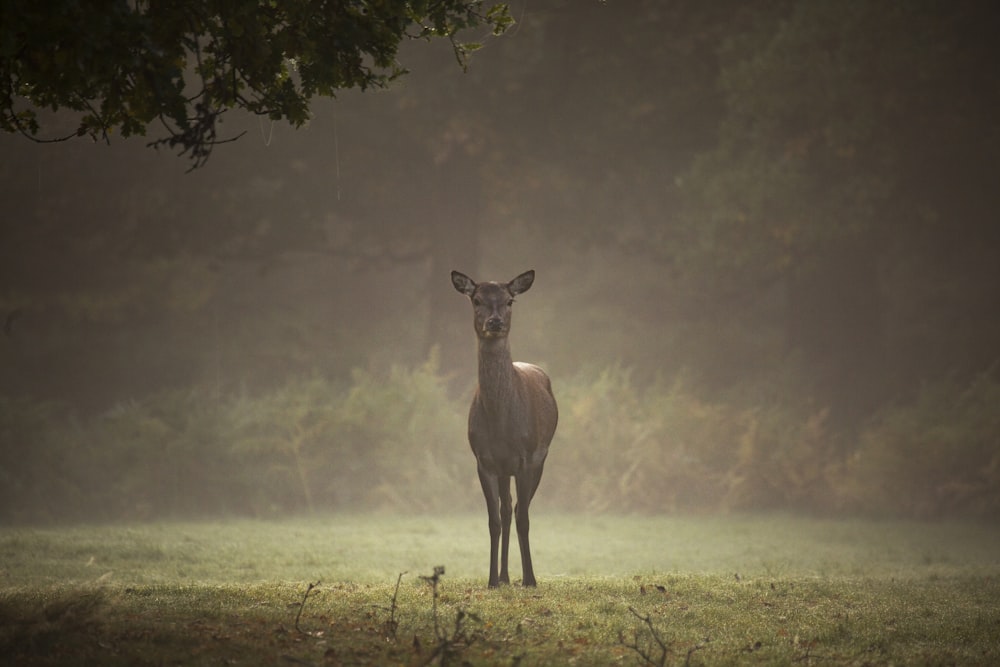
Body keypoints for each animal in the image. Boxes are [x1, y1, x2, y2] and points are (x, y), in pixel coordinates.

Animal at [452, 268, 560, 588]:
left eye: (510, 300)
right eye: (476, 300)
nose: (495, 321)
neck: (501, 424)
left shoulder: (526, 458)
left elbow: (524, 517)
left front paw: (531, 579)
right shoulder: (484, 461)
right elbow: (493, 520)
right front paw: (490, 580)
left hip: (541, 458)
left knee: (519, 509)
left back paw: (518, 576)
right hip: (504, 470)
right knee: (506, 508)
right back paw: (503, 576)